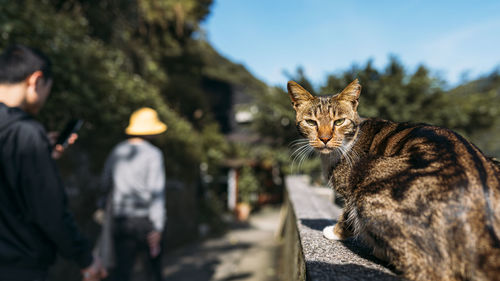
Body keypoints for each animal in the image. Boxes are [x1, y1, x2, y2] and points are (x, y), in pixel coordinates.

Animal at [286, 79, 500, 280]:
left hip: (370, 179)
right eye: (311, 122)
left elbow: (347, 215)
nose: (324, 138)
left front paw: (333, 231)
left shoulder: (351, 188)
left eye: (339, 122)